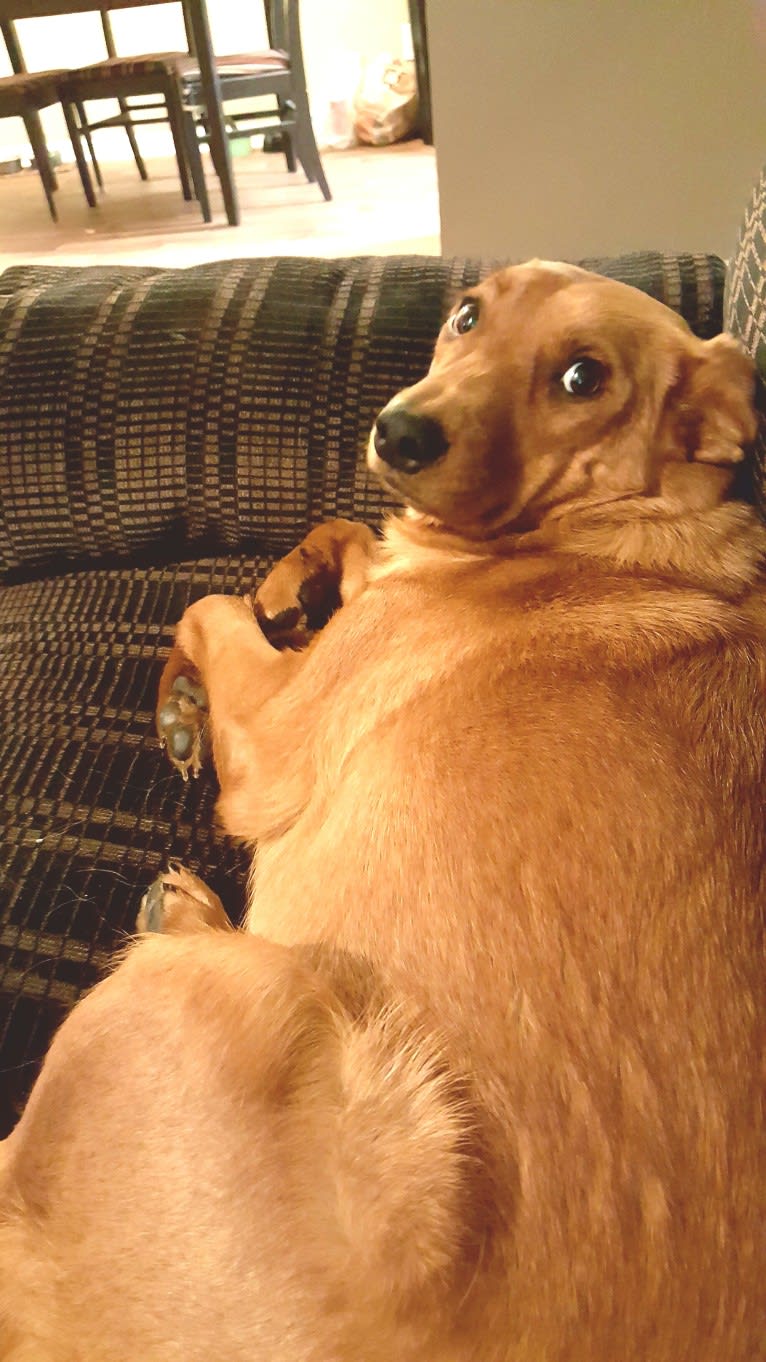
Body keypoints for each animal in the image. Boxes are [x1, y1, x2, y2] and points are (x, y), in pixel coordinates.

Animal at [1, 265, 763, 1362]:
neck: (606, 530)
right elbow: (344, 534)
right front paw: (297, 580)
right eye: (467, 315)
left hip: (244, 993)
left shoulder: (275, 740)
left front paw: (186, 695)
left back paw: (176, 914)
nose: (398, 432)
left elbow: (208, 609)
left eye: (582, 377)